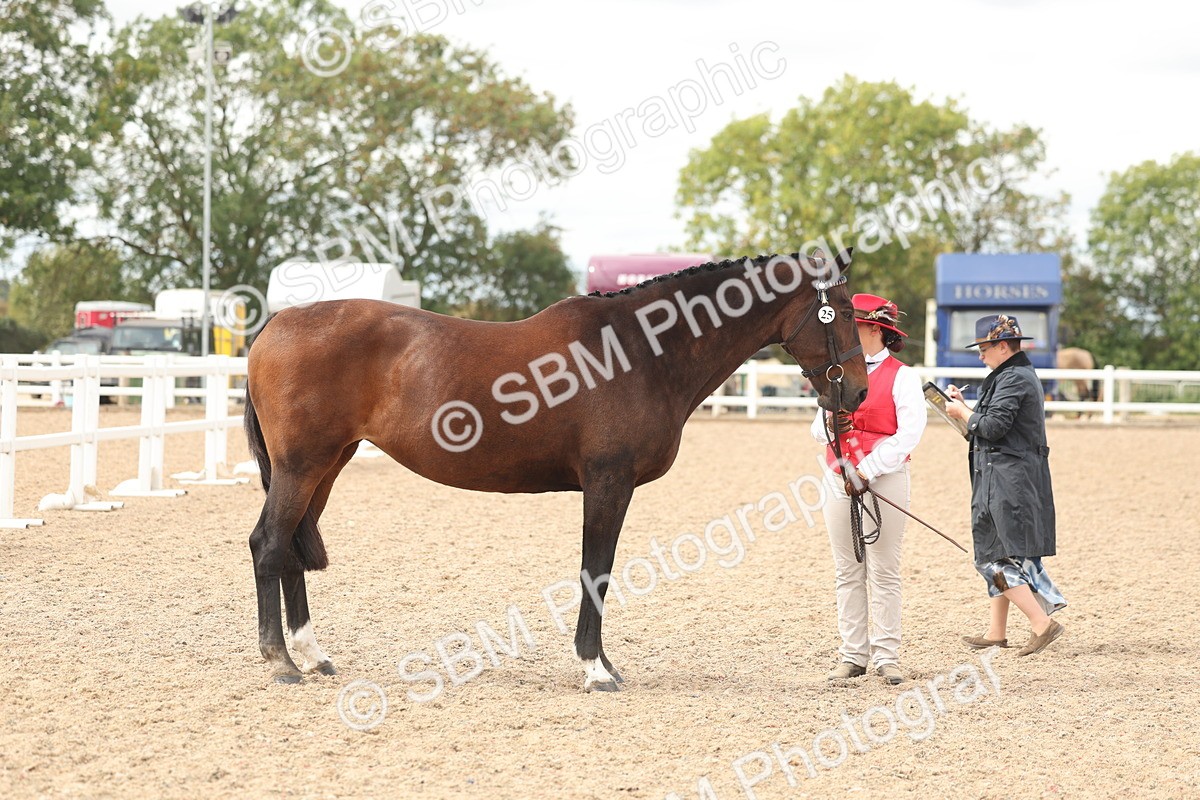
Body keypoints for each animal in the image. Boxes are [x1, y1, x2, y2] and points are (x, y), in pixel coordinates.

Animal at [242, 249, 869, 690]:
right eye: (838, 312)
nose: (859, 392)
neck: (639, 350)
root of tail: (276, 325)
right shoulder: (608, 483)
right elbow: (597, 569)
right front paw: (594, 669)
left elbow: (602, 571)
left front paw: (605, 663)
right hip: (301, 466)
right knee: (269, 542)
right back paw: (280, 661)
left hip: (327, 466)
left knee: (292, 546)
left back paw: (312, 654)